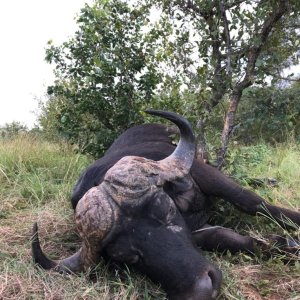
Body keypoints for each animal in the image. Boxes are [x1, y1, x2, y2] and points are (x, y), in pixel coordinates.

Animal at [31, 110, 300, 300]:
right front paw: (285, 245)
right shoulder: (199, 232)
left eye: (166, 210)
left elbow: (250, 201)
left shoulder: (206, 174)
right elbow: (221, 237)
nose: (201, 290)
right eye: (128, 257)